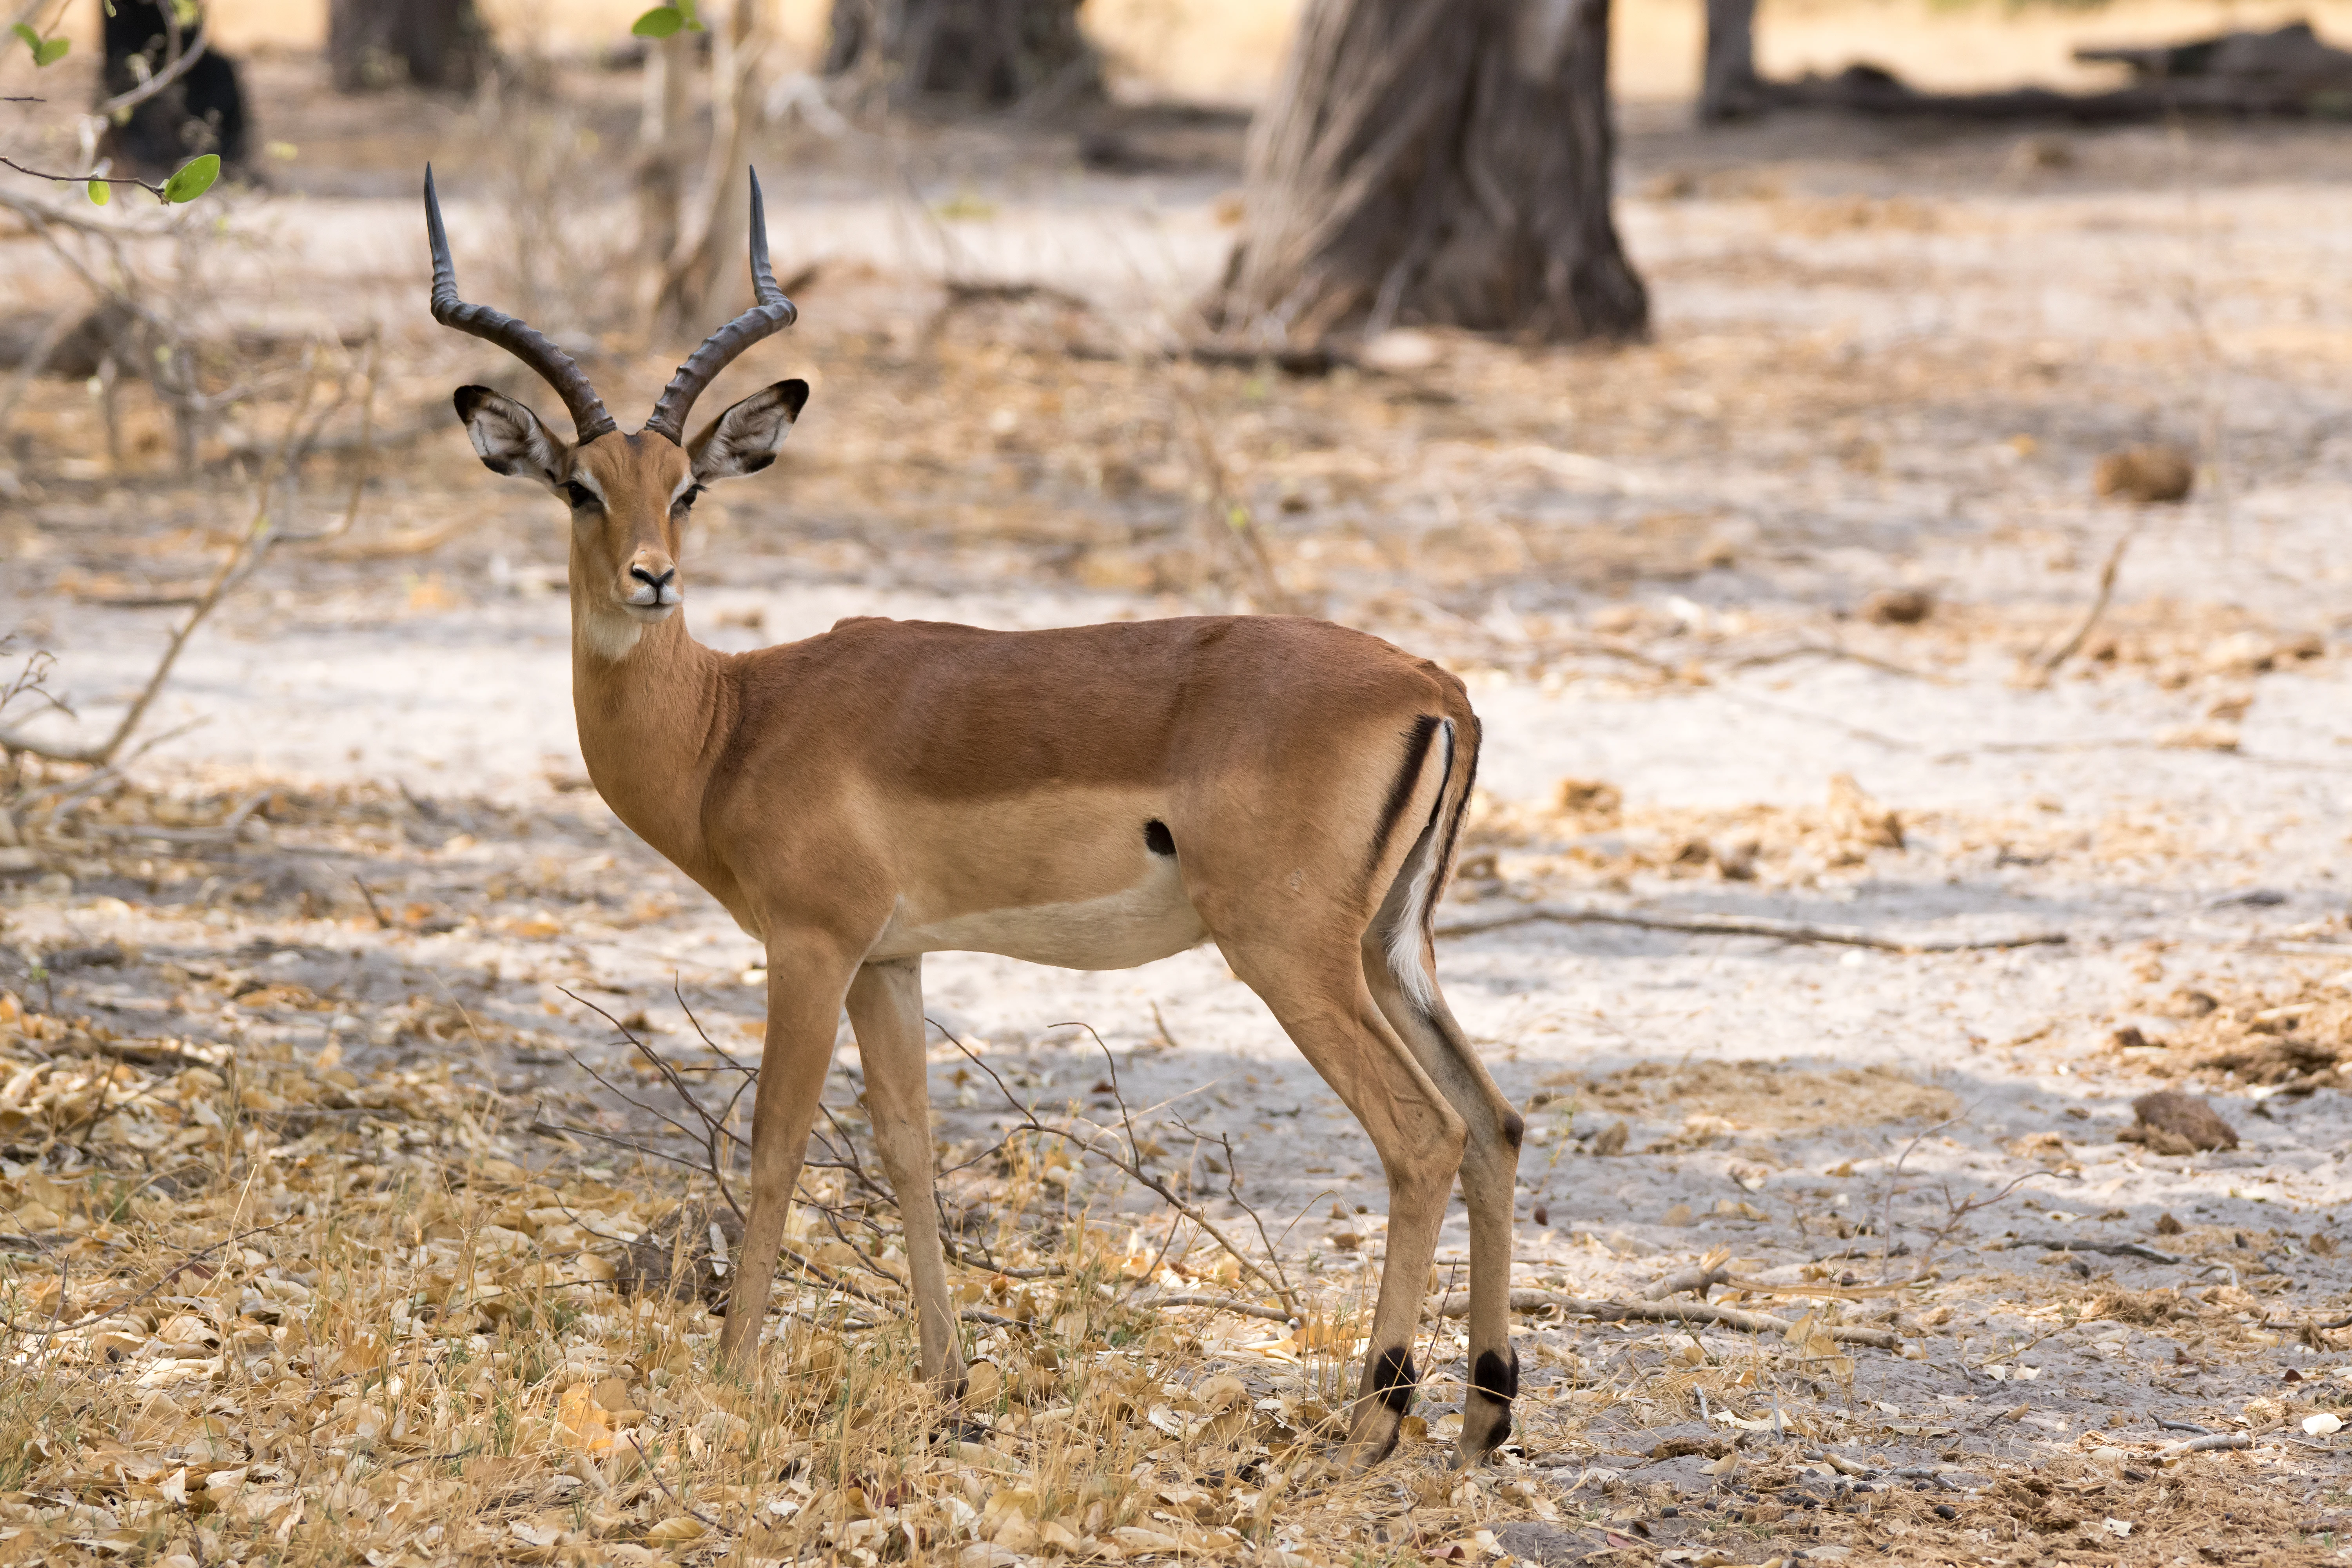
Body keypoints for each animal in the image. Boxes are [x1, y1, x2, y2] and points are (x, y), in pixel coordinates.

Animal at [422, 167, 1525, 1470]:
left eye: (684, 488)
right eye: (580, 487)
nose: (653, 578)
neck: (732, 720)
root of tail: (1432, 685)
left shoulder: (811, 945)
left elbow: (778, 1143)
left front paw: (732, 1373)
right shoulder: (889, 960)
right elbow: (908, 1143)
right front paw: (947, 1383)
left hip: (1289, 951)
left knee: (1420, 1134)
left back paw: (1371, 1425)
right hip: (1391, 947)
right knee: (1494, 1121)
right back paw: (1485, 1414)